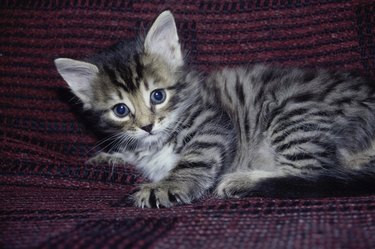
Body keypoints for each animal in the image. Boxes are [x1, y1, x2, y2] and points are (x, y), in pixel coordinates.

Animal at [54, 10, 375, 207]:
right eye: (121, 110)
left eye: (157, 95)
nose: (147, 126)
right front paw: (109, 157)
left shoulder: (212, 127)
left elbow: (193, 161)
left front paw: (164, 186)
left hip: (294, 114)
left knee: (312, 173)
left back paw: (241, 180)